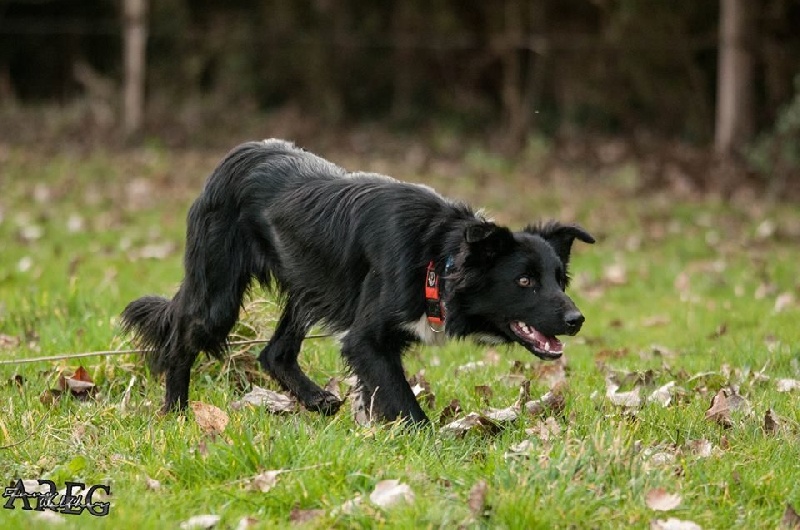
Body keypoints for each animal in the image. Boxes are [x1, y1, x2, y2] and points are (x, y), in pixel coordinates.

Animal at [120, 139, 592, 420]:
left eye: (558, 280)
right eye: (525, 282)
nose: (577, 320)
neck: (437, 258)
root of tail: (238, 153)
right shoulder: (367, 338)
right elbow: (401, 398)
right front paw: (429, 442)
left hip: (308, 285)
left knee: (275, 353)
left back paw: (315, 399)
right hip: (219, 294)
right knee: (181, 341)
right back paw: (176, 413)